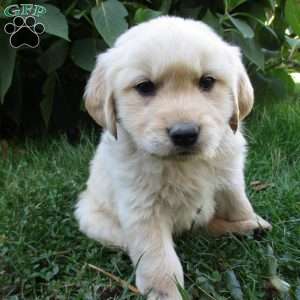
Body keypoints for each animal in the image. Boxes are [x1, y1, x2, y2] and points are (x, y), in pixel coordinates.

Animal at [74, 16, 270, 300]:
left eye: (207, 82)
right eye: (144, 87)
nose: (185, 134)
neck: (182, 165)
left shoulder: (229, 179)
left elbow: (238, 204)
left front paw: (249, 219)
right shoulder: (143, 208)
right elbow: (158, 259)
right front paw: (164, 291)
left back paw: (248, 228)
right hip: (91, 217)